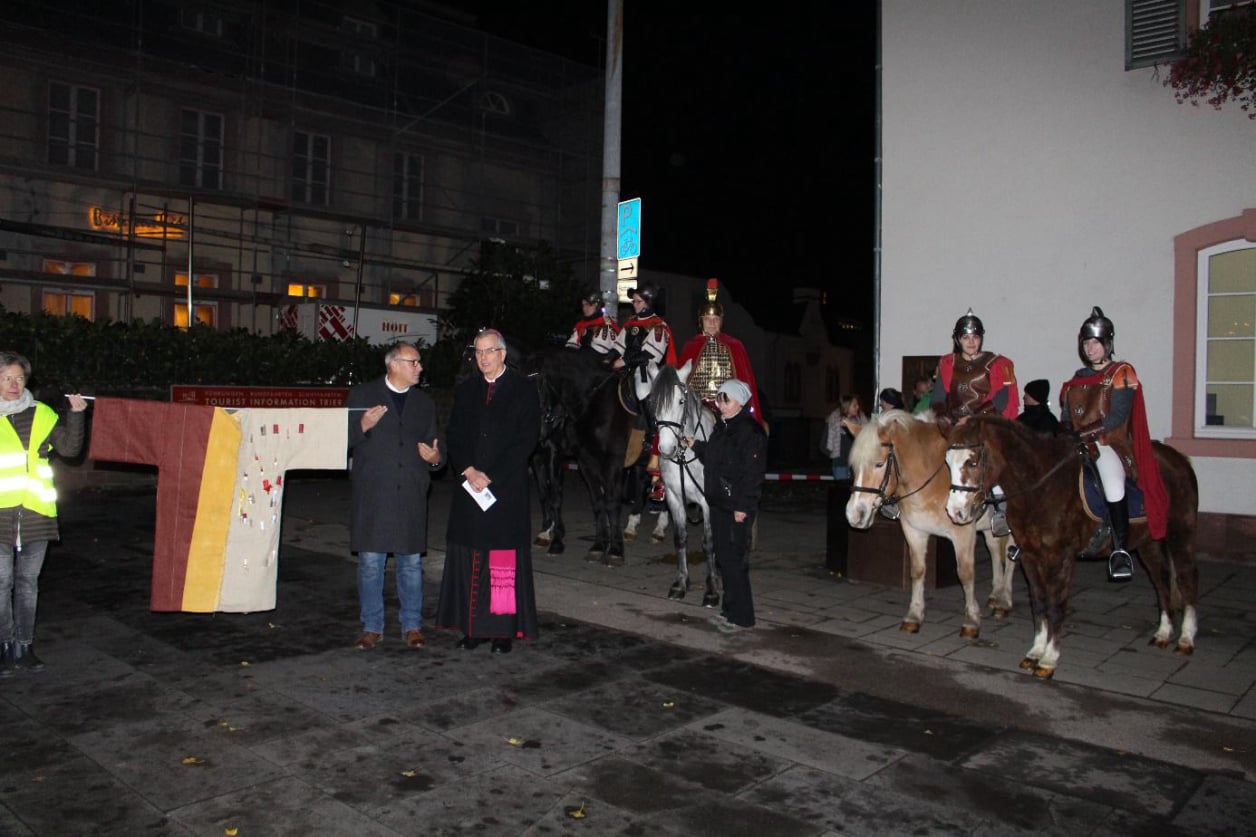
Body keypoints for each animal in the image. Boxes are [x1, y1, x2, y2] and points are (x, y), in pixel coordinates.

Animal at [644, 362, 718, 605]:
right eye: (653, 403)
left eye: (681, 401)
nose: (667, 449)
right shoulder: (675, 499)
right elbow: (680, 538)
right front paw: (680, 583)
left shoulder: (709, 502)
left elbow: (709, 542)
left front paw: (712, 590)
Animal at [845, 409, 1016, 638]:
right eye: (854, 466)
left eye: (879, 464)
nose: (854, 514)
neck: (932, 476)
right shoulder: (914, 531)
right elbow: (917, 571)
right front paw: (914, 616)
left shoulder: (963, 533)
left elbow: (965, 574)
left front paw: (971, 620)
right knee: (995, 550)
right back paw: (997, 594)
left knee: (1010, 554)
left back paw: (1004, 601)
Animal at [945, 414, 1200, 678]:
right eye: (948, 463)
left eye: (972, 462)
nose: (955, 512)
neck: (1041, 487)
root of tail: (1179, 459)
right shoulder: (1030, 556)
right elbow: (1039, 603)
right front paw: (1035, 652)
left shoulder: (1062, 557)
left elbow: (1056, 605)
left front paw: (1049, 659)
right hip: (1148, 542)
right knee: (1161, 580)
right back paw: (1163, 634)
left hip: (1181, 533)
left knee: (1186, 579)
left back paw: (1186, 639)